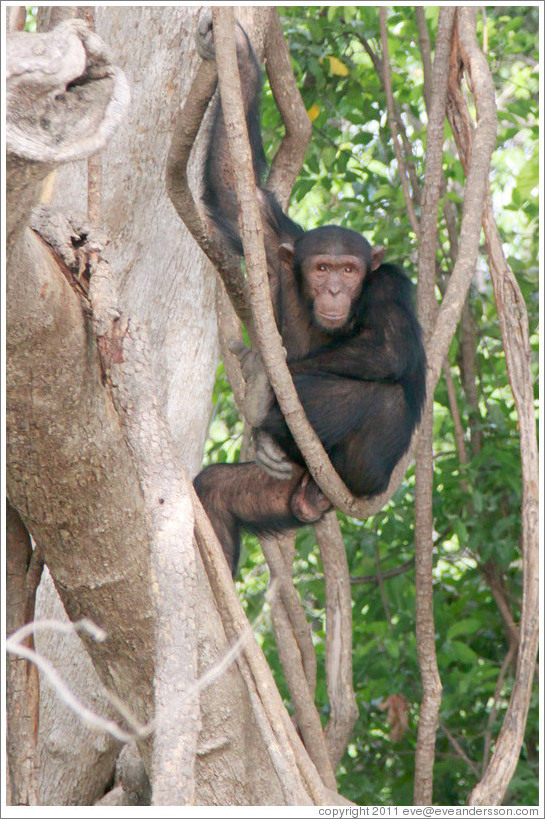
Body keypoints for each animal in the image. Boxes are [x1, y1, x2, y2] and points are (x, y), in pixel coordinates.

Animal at [191, 14, 424, 576]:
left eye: (349, 269)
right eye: (320, 269)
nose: (336, 288)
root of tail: (315, 496)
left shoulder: (390, 284)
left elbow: (388, 349)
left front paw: (263, 371)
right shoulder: (276, 242)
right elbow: (237, 195)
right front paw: (238, 55)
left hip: (360, 478)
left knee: (380, 396)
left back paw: (265, 400)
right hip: (283, 493)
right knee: (218, 492)